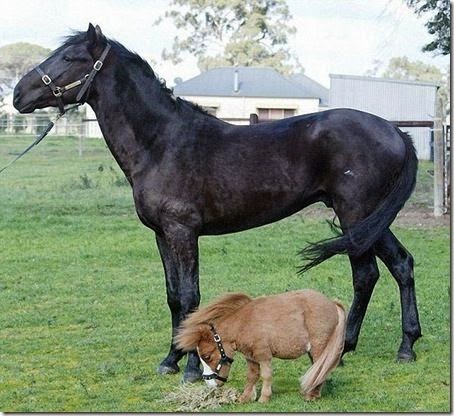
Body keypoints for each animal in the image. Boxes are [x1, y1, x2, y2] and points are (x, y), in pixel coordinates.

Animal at [11, 23, 422, 380]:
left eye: (70, 57)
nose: (17, 94)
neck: (162, 143)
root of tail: (395, 132)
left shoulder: (183, 231)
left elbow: (191, 296)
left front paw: (194, 368)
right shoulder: (161, 234)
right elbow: (173, 296)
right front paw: (171, 359)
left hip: (355, 214)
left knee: (366, 275)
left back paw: (349, 349)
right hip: (369, 220)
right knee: (401, 264)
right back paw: (401, 346)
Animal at [176, 290, 346, 404]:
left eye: (207, 356)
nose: (209, 385)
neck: (244, 324)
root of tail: (333, 304)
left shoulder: (263, 355)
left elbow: (266, 375)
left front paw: (264, 398)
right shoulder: (250, 357)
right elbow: (252, 376)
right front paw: (245, 397)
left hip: (319, 346)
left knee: (321, 367)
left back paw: (312, 395)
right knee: (318, 369)